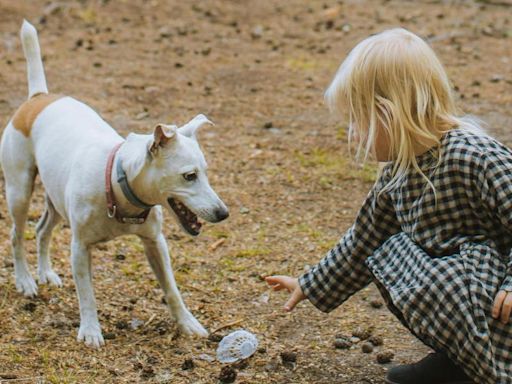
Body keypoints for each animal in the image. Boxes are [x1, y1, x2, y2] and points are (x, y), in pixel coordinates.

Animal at [0, 21, 228, 348]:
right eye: (189, 176)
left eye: (206, 173)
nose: (223, 213)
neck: (117, 186)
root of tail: (38, 97)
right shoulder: (80, 248)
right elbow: (87, 295)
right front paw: (91, 330)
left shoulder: (155, 243)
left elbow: (172, 289)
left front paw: (187, 323)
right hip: (19, 191)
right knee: (17, 235)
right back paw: (26, 280)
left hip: (56, 201)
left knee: (42, 230)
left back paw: (46, 273)